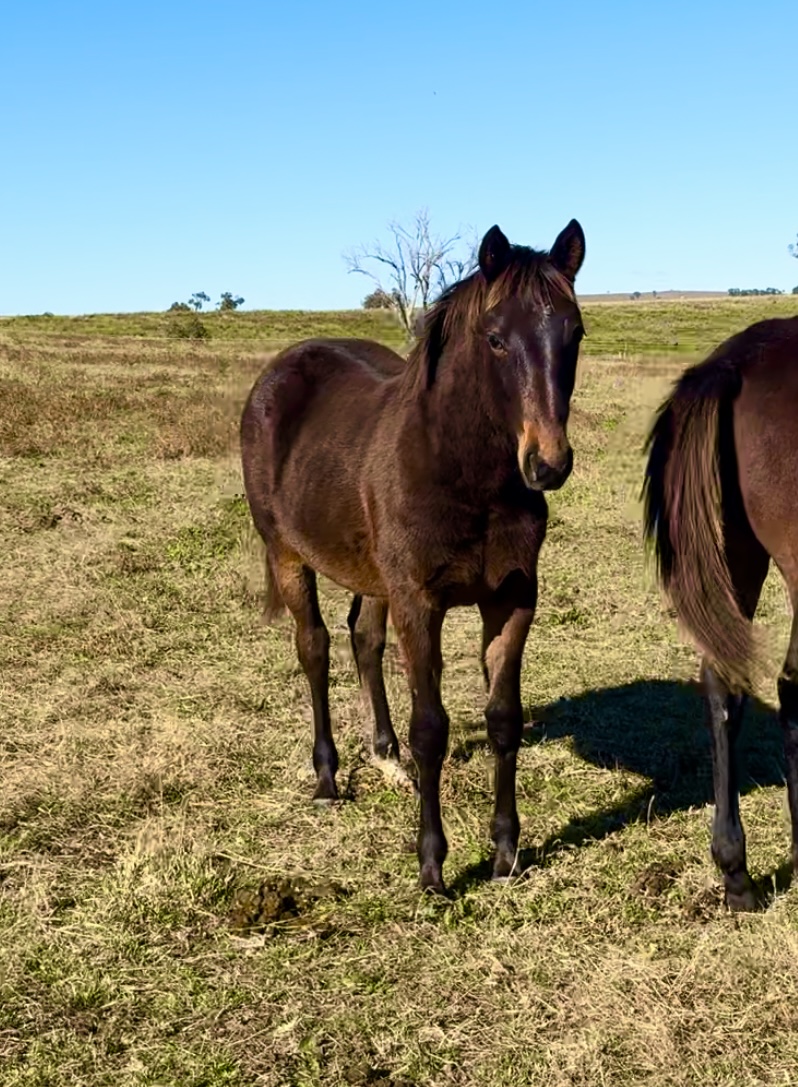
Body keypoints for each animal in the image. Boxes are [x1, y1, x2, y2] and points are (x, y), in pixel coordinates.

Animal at [240, 220, 586, 893]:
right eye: (496, 339)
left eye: (575, 333)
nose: (548, 464)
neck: (465, 476)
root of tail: (281, 370)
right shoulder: (419, 604)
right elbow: (432, 729)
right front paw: (432, 866)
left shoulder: (512, 601)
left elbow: (503, 718)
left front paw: (506, 853)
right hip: (290, 556)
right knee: (314, 647)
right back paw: (328, 777)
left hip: (374, 578)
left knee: (362, 640)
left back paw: (384, 756)